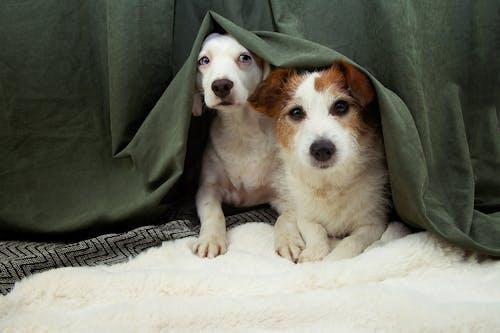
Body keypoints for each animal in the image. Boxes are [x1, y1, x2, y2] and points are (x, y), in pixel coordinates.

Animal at [190, 33, 278, 256]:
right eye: (204, 60)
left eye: (245, 57)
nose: (221, 85)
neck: (242, 130)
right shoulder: (208, 187)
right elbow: (214, 213)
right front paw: (211, 239)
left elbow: (289, 217)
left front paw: (289, 239)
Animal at [250, 61, 390, 260]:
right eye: (296, 112)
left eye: (340, 106)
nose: (322, 149)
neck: (329, 185)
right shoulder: (305, 215)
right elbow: (316, 230)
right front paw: (314, 253)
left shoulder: (374, 223)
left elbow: (352, 241)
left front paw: (333, 260)